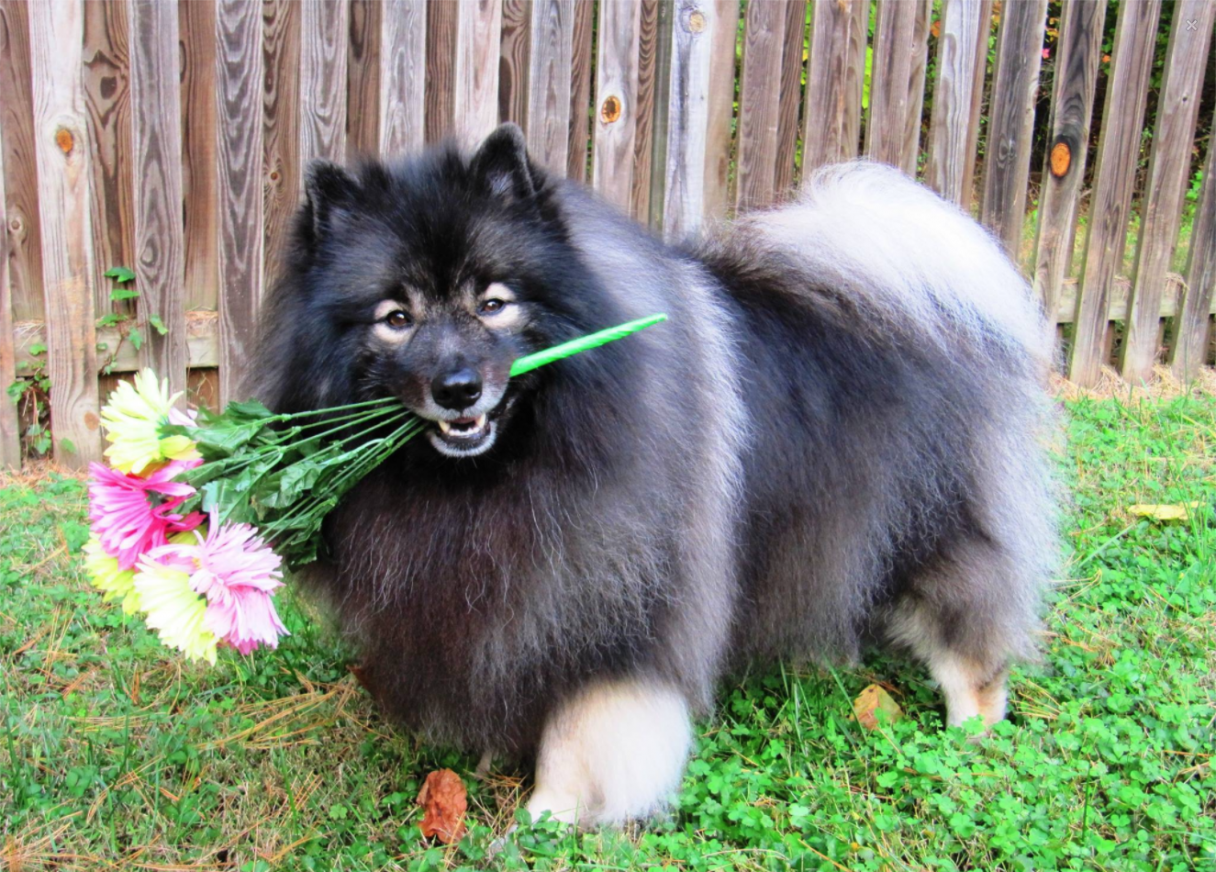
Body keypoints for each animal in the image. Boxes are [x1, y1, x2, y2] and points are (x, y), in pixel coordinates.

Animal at [254, 121, 1055, 822]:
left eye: (494, 303)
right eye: (396, 318)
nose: (458, 388)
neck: (496, 474)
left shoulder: (612, 611)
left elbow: (579, 733)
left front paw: (548, 814)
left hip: (937, 529)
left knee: (970, 630)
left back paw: (973, 726)